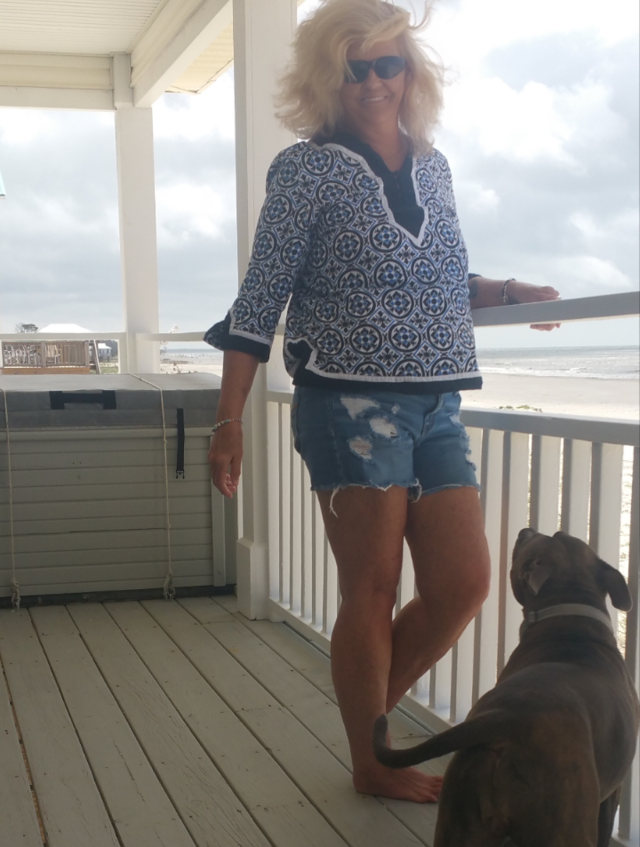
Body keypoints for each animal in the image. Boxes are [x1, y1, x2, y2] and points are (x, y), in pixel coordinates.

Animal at [374, 529, 639, 847]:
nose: (527, 531)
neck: (569, 616)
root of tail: (507, 720)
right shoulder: (613, 793)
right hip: (563, 824)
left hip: (460, 818)